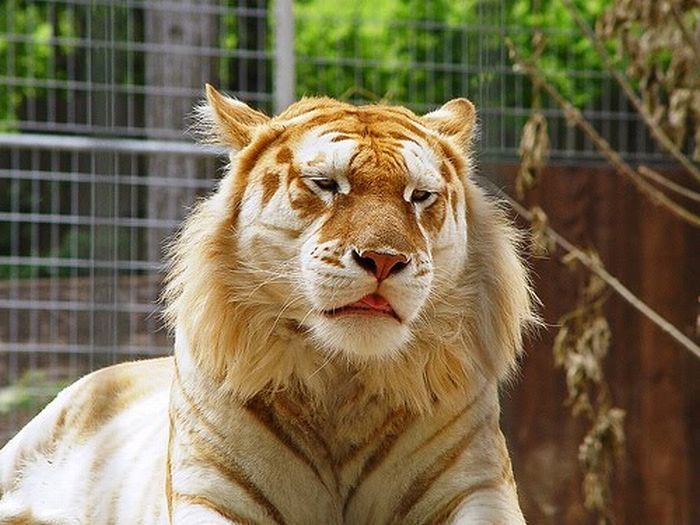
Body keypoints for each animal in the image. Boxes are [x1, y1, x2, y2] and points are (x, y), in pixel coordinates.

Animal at [0, 87, 536, 524]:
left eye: (420, 195)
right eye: (326, 184)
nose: (384, 259)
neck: (343, 380)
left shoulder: (479, 487)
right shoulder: (213, 493)